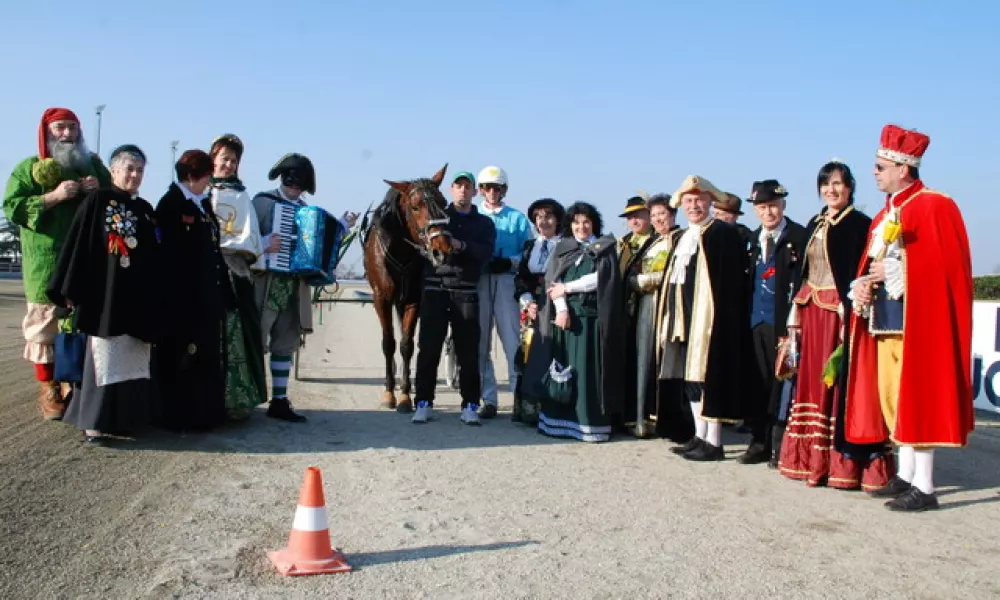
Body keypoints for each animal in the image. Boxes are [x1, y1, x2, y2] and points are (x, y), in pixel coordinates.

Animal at [362, 164, 452, 412]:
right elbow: (388, 343)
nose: (442, 249)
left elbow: (406, 344)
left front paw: (404, 395)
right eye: (415, 206)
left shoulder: (412, 299)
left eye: (444, 202)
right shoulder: (381, 299)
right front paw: (389, 393)